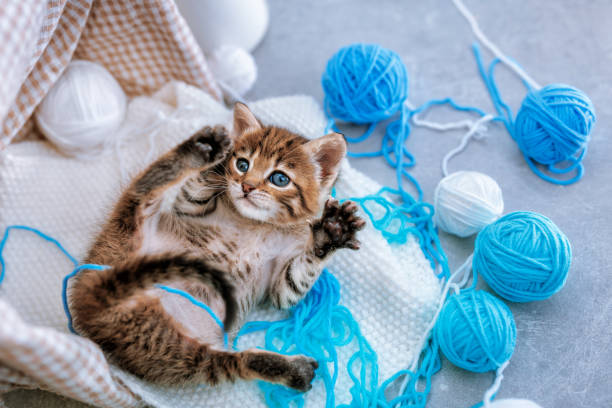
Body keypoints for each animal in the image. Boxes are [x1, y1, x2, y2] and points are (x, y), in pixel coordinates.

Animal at [71, 103, 366, 392]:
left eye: (279, 179)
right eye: (243, 164)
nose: (246, 186)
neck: (257, 224)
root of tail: (93, 306)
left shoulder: (281, 287)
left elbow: (295, 280)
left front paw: (331, 232)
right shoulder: (186, 207)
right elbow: (193, 191)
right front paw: (219, 163)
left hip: (175, 352)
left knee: (232, 362)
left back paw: (291, 370)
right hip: (129, 228)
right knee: (145, 188)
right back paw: (196, 153)